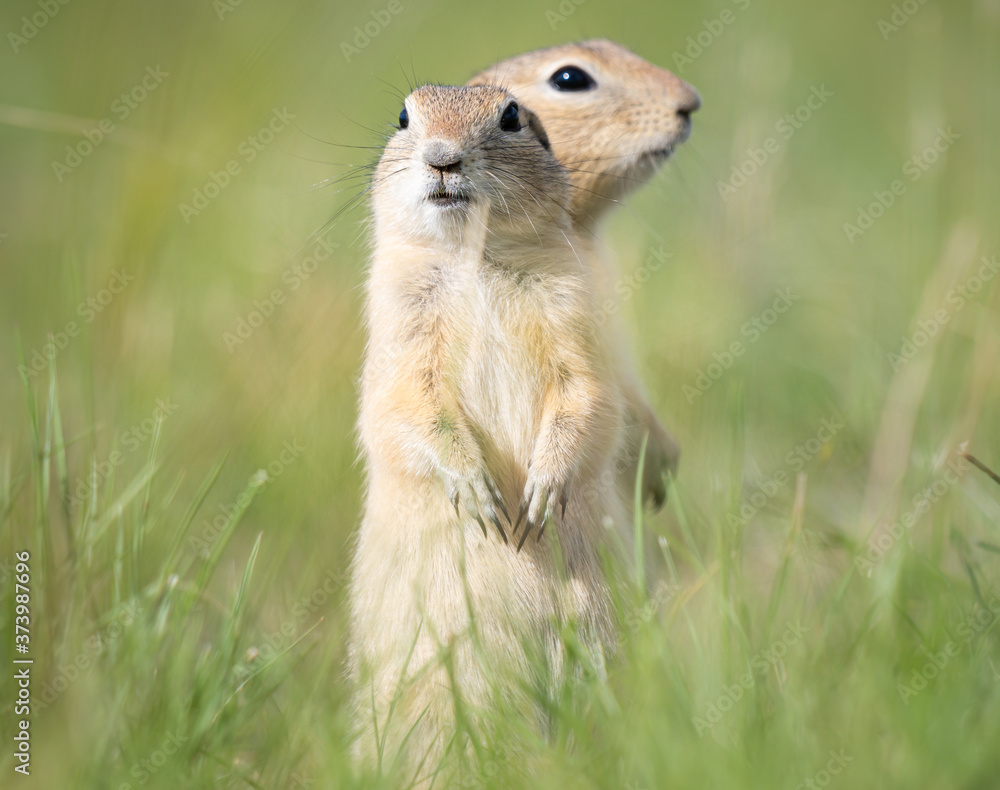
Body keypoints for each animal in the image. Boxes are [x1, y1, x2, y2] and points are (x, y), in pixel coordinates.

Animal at [348, 84, 628, 778]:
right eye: (403, 117)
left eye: (511, 117)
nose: (443, 158)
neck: (476, 259)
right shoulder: (397, 331)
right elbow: (407, 409)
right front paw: (481, 494)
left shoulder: (575, 318)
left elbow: (587, 396)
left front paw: (541, 495)